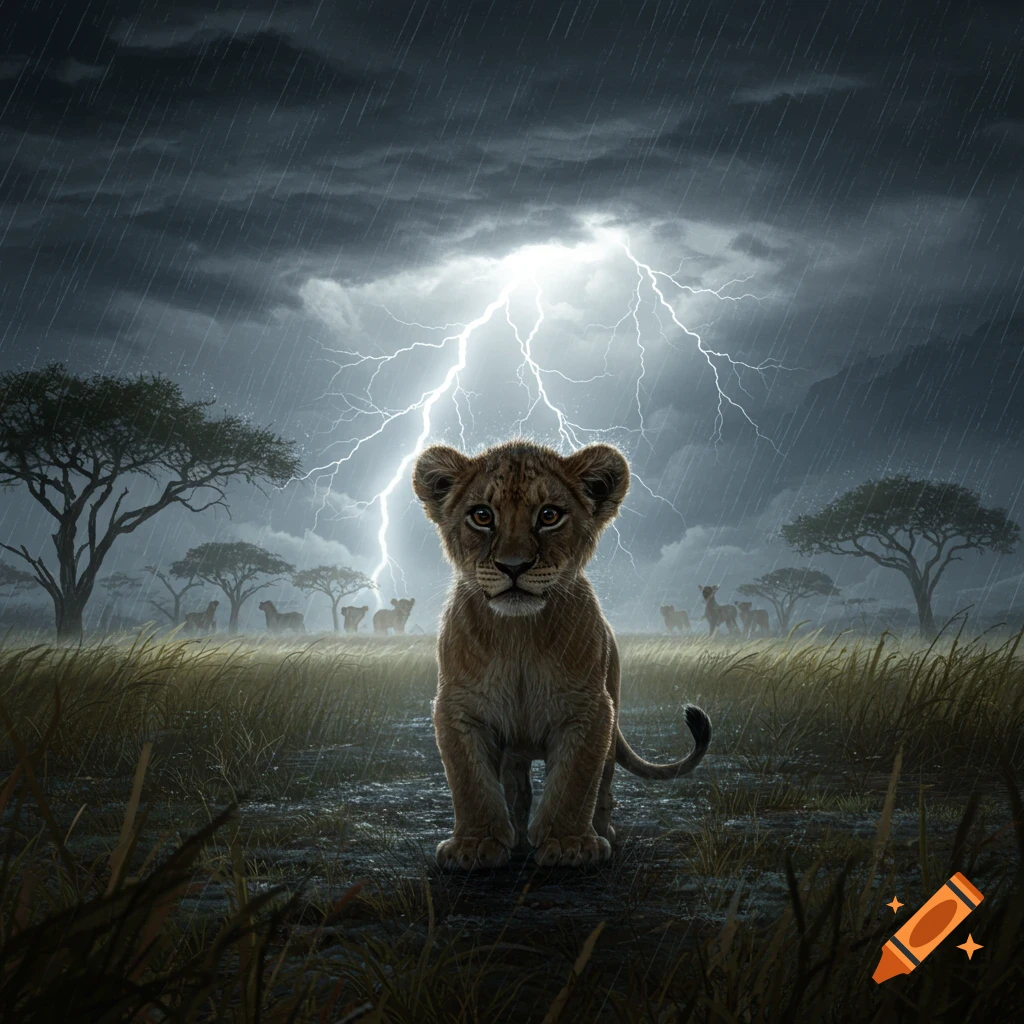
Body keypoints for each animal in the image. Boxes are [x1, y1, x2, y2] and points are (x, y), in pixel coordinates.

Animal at [412, 439, 712, 871]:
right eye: (482, 515)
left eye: (549, 515)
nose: (513, 566)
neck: (518, 635)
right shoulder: (459, 707)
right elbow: (470, 781)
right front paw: (475, 845)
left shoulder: (590, 710)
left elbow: (576, 781)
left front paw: (569, 844)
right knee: (517, 787)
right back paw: (518, 838)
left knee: (604, 783)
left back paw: (602, 831)